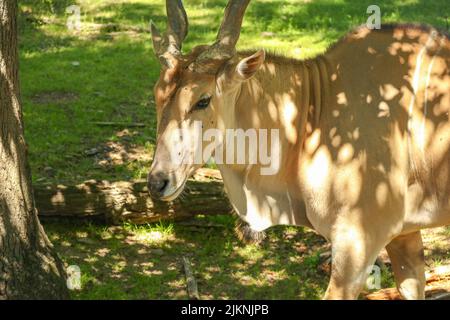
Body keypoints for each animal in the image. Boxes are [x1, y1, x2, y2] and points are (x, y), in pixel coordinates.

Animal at [148, 0, 450, 300]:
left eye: (203, 100)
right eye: (157, 94)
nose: (157, 182)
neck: (314, 113)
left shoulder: (359, 239)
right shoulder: (404, 235)